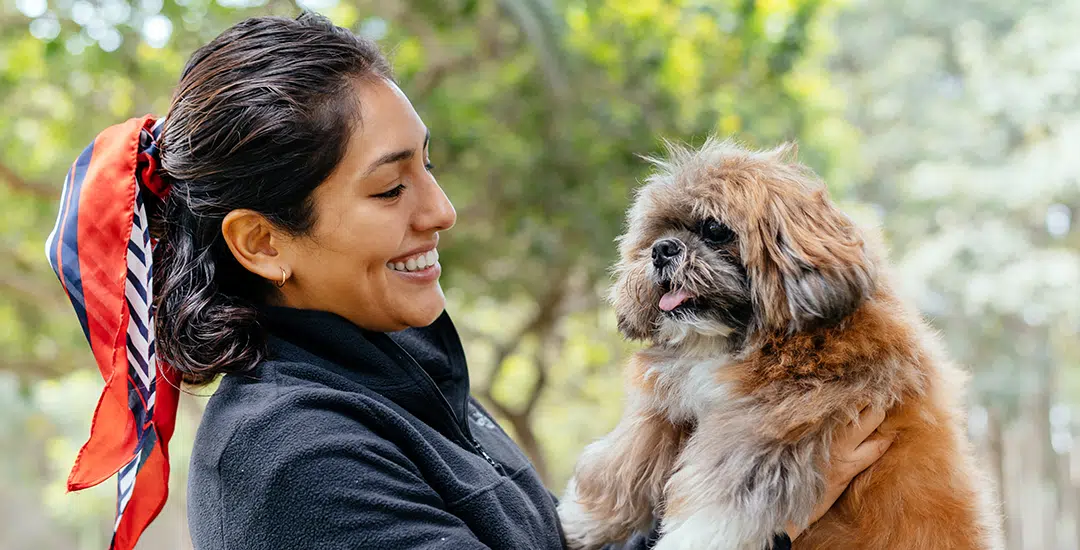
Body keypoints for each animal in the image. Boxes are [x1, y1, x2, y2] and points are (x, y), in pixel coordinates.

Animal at [557, 138, 1002, 548]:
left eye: (714, 229)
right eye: (660, 232)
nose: (662, 250)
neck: (742, 342)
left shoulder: (774, 425)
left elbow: (723, 500)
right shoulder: (670, 408)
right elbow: (623, 463)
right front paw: (580, 522)